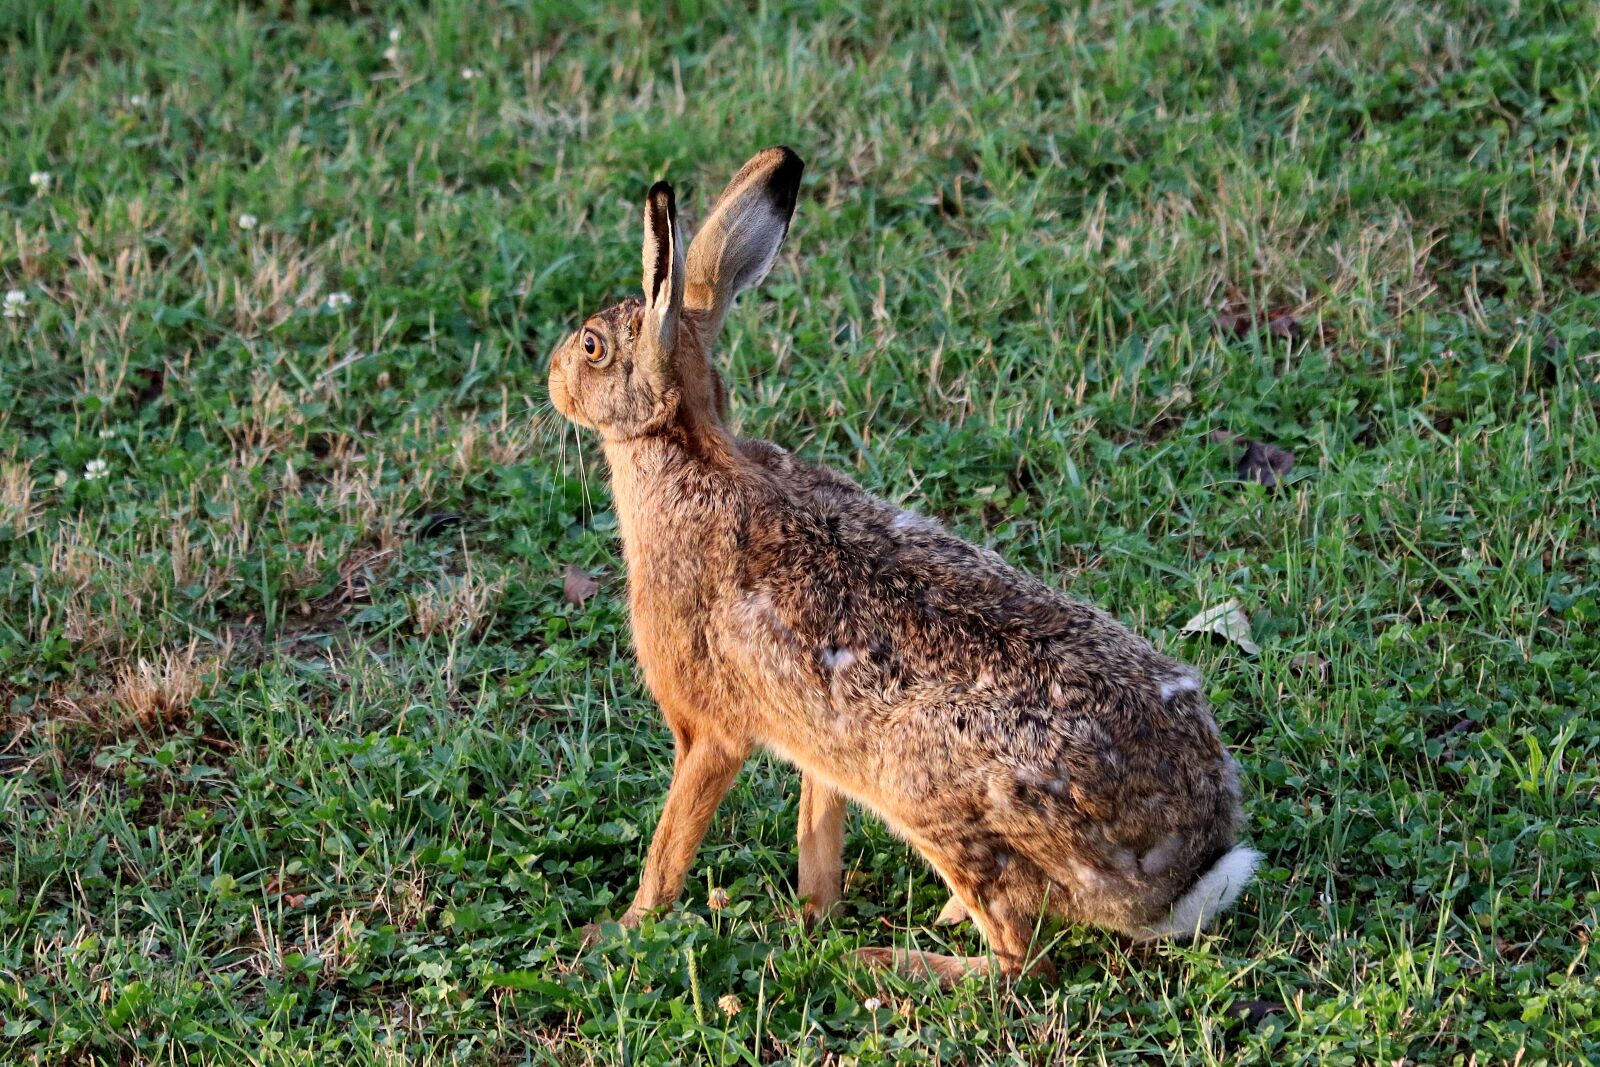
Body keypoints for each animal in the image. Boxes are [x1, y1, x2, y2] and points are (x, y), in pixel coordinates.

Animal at [548, 147, 1259, 983]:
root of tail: (1184, 866)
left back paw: (889, 958)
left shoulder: (709, 729)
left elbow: (671, 843)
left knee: (1020, 960)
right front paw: (811, 913)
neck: (687, 451)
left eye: (593, 346)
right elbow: (817, 827)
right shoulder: (818, 746)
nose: (553, 375)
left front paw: (621, 929)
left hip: (932, 796)